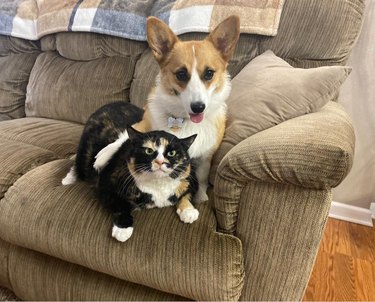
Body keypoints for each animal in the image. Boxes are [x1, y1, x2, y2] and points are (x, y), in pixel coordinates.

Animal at [64, 102, 200, 243]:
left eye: (172, 153)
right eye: (148, 151)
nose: (160, 161)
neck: (158, 185)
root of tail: (113, 103)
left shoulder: (191, 179)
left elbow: (187, 195)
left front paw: (189, 212)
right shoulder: (106, 184)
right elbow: (120, 205)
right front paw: (123, 230)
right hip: (85, 151)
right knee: (79, 165)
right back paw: (67, 180)